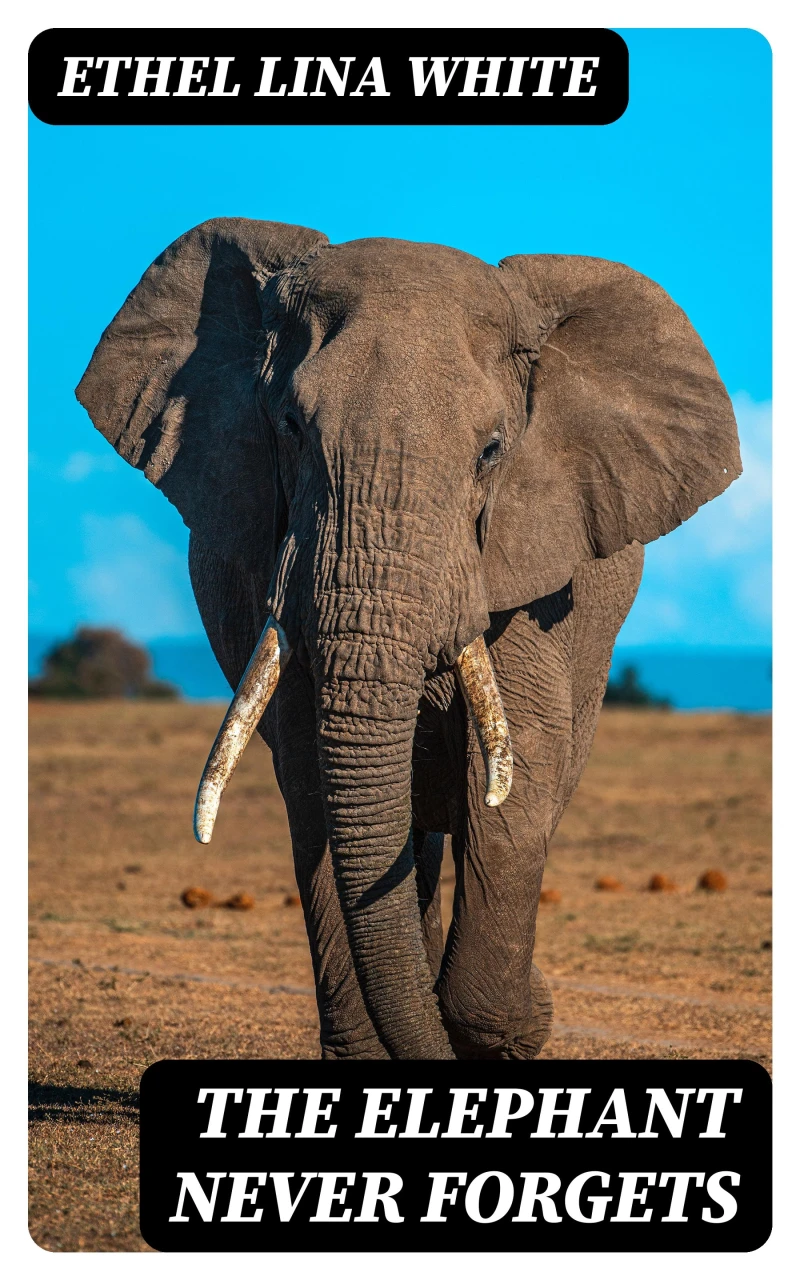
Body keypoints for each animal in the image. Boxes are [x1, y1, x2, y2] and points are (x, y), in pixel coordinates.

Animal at [76, 219, 740, 1060]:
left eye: (492, 451)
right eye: (291, 429)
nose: (544, 1000)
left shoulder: (525, 569)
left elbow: (517, 772)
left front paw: (513, 1026)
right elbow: (315, 772)